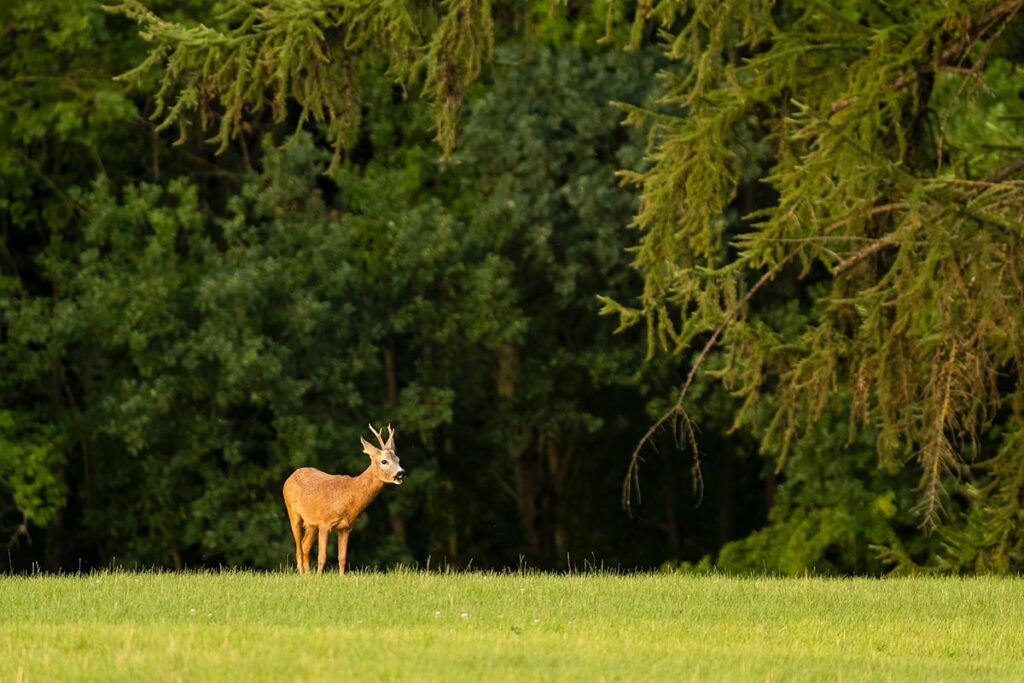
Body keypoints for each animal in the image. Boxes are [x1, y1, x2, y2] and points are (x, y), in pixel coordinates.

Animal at [283, 424, 405, 575]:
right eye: (384, 461)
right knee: (298, 548)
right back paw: (303, 574)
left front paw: (341, 577)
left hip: (312, 523)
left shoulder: (346, 527)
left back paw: (307, 574)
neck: (350, 495)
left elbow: (342, 558)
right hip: (293, 512)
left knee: (304, 546)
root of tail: (290, 476)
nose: (401, 472)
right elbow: (322, 556)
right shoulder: (324, 522)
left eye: (398, 460)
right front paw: (319, 577)